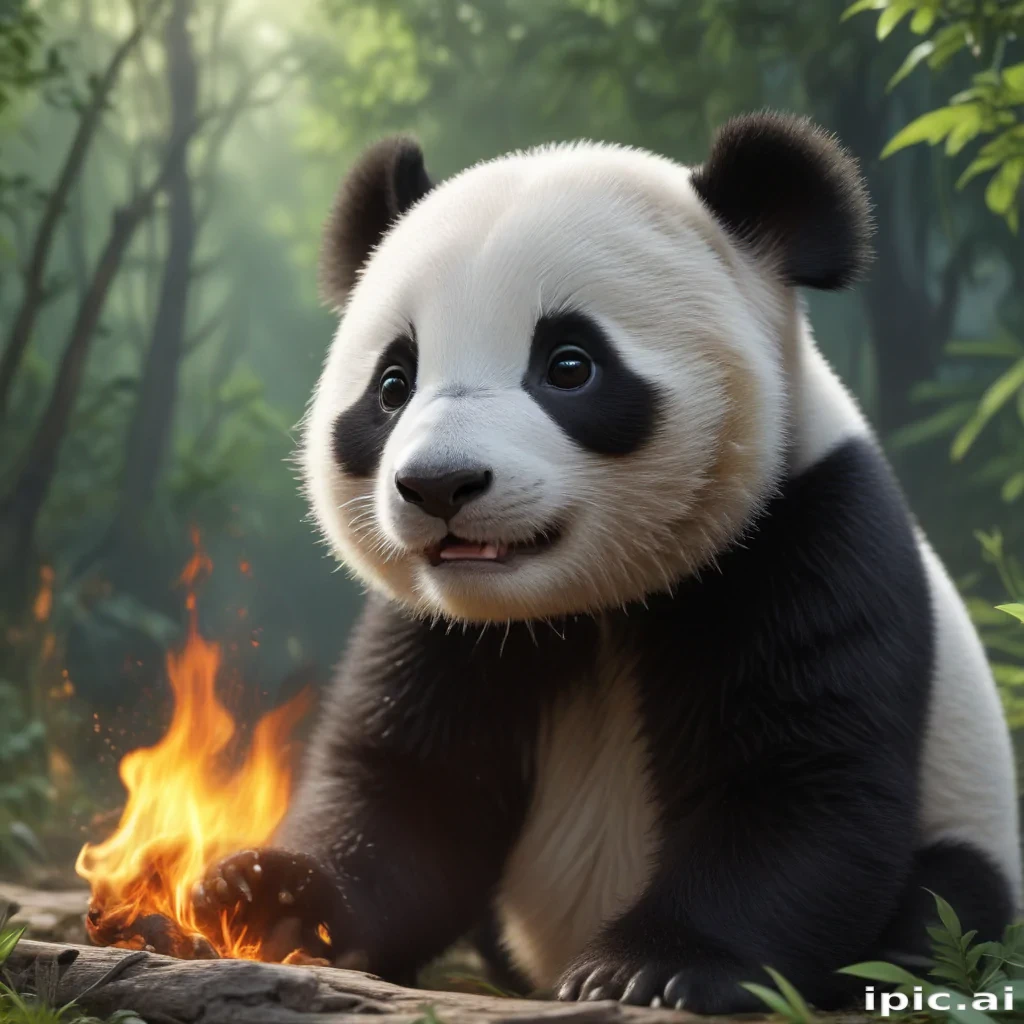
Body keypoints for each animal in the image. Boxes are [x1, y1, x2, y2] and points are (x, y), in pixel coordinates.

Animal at [193, 112, 1021, 1013]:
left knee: (949, 902)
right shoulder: (445, 629)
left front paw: (650, 968)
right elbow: (411, 792)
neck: (586, 604)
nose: (440, 484)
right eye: (392, 384)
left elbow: (799, 785)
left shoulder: (810, 532)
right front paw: (267, 896)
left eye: (569, 365)